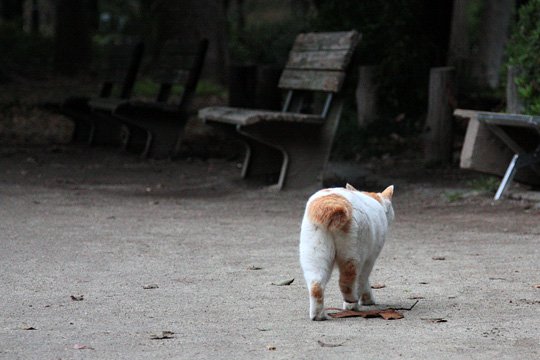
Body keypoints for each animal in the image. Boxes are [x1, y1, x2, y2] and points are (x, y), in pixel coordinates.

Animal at [298, 184, 394, 320]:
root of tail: (332, 204)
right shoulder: (369, 259)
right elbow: (363, 280)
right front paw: (366, 300)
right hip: (352, 254)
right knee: (347, 282)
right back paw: (351, 306)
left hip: (314, 254)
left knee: (316, 285)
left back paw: (318, 315)